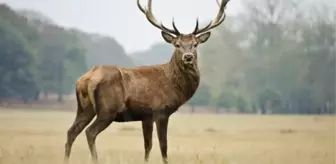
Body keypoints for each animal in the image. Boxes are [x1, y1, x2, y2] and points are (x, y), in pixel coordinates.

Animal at [64, 0, 230, 163]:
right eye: (177, 44)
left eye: (195, 44)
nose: (188, 56)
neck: (174, 85)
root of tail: (86, 79)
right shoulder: (160, 111)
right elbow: (163, 146)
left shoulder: (146, 116)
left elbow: (148, 146)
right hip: (107, 109)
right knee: (90, 132)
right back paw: (95, 159)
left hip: (85, 108)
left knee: (71, 131)